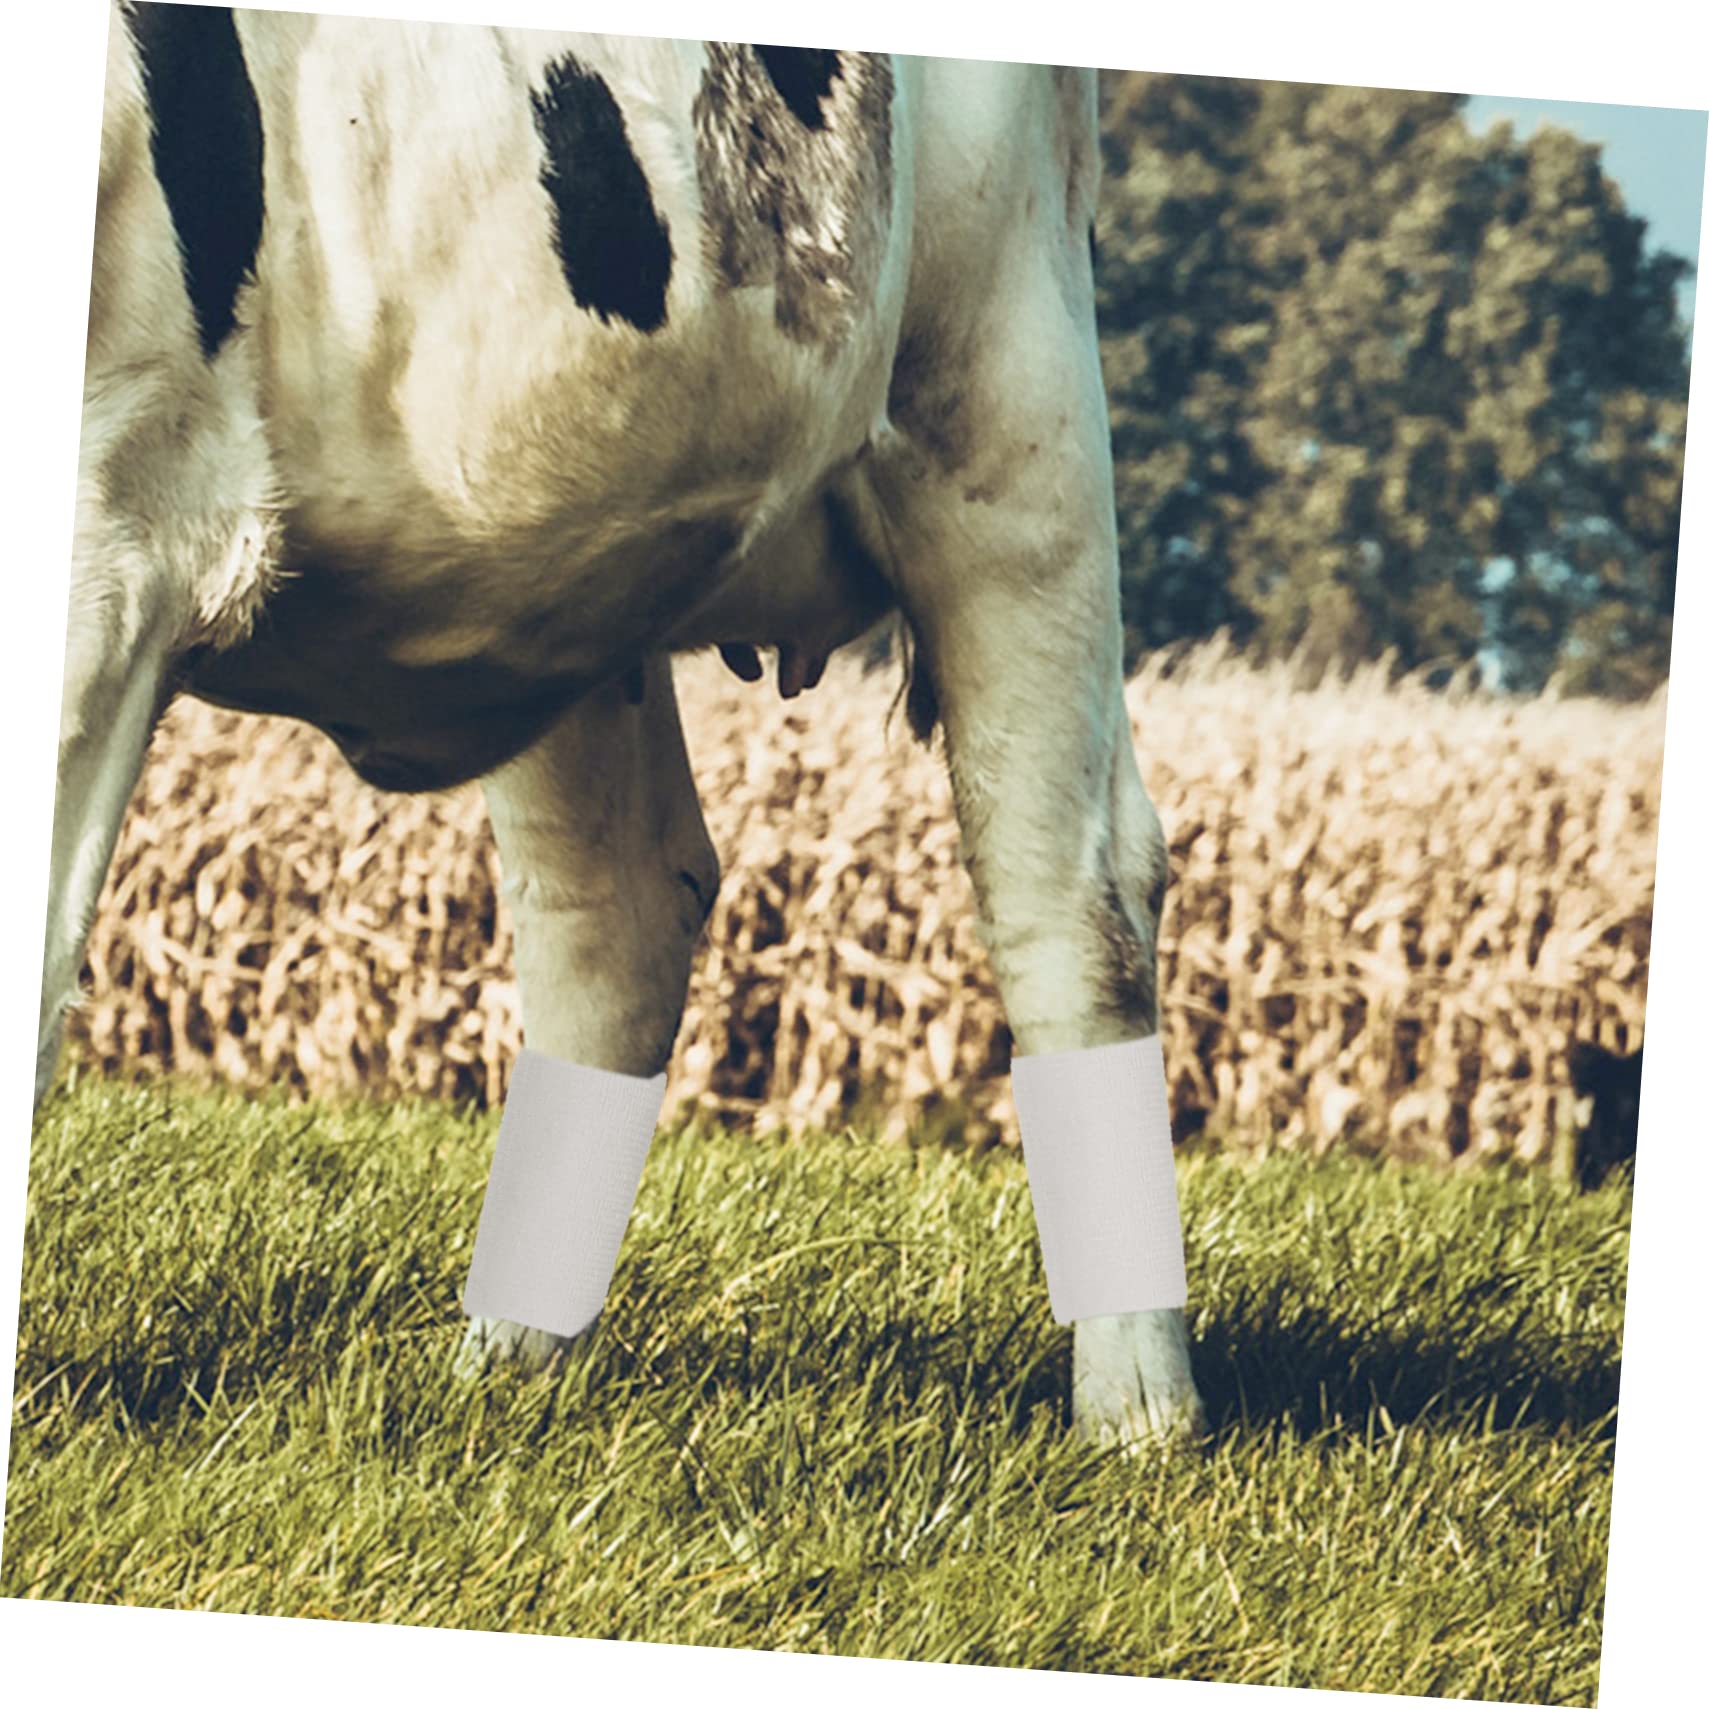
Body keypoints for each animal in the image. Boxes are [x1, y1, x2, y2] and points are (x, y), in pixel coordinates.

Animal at [37, 2, 1207, 1447]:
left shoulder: (108, 535)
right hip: (565, 548)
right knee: (624, 906)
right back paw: (499, 1369)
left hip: (1004, 409)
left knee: (1072, 897)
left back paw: (1136, 1410)